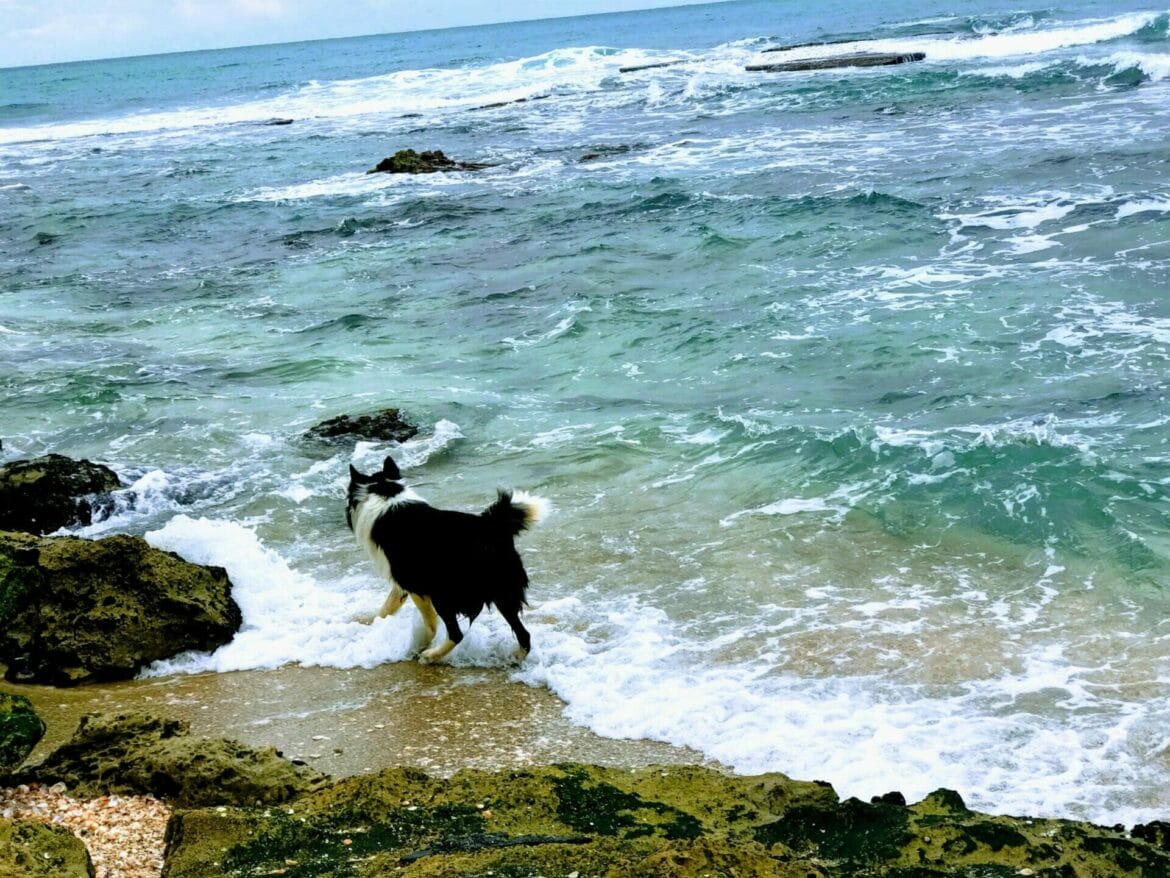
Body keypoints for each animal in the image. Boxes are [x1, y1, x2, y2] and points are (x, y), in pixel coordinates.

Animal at [346, 456, 547, 664]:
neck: (384, 493)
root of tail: (490, 525)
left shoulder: (413, 584)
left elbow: (429, 623)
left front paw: (418, 644)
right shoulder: (402, 584)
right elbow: (386, 608)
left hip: (443, 593)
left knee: (457, 634)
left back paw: (430, 656)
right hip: (501, 591)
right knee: (524, 634)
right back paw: (515, 658)